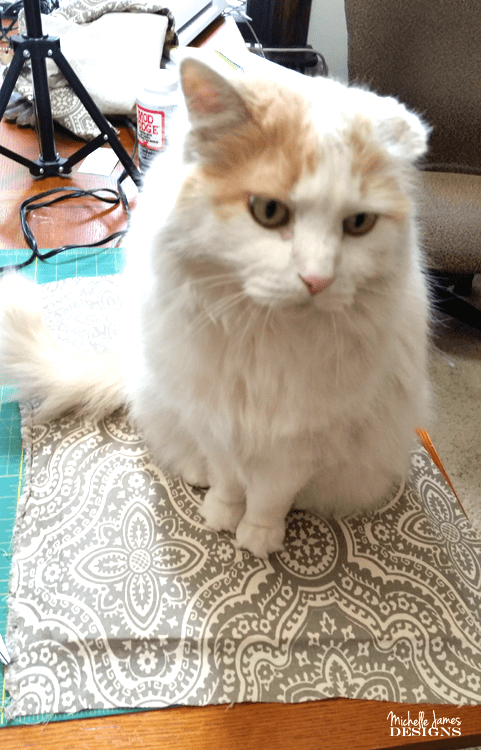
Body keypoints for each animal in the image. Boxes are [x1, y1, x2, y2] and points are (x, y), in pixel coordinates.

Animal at [0, 57, 430, 560]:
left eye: (359, 224)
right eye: (269, 212)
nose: (318, 280)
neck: (263, 335)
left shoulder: (300, 441)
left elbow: (270, 496)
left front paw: (259, 537)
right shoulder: (211, 416)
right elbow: (227, 478)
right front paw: (222, 514)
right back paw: (197, 474)